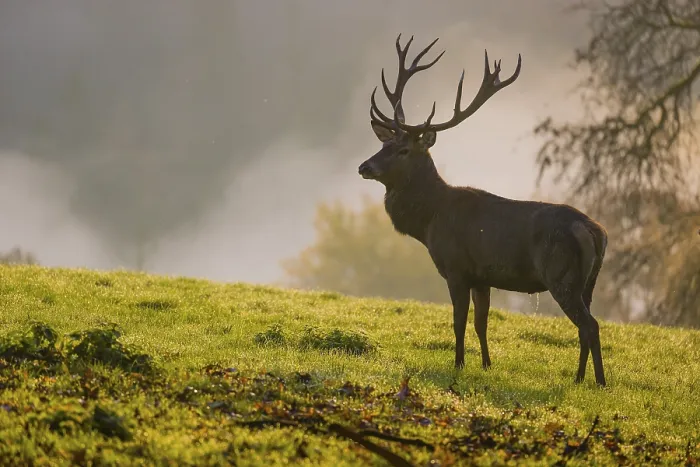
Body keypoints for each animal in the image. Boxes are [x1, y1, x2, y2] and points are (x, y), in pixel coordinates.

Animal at [358, 35, 608, 387]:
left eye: (404, 149)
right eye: (384, 144)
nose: (365, 167)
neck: (429, 221)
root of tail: (595, 231)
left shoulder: (456, 268)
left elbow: (458, 322)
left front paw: (459, 364)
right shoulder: (482, 276)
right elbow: (481, 323)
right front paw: (487, 365)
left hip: (562, 275)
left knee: (590, 325)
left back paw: (599, 382)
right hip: (590, 281)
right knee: (587, 324)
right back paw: (578, 378)